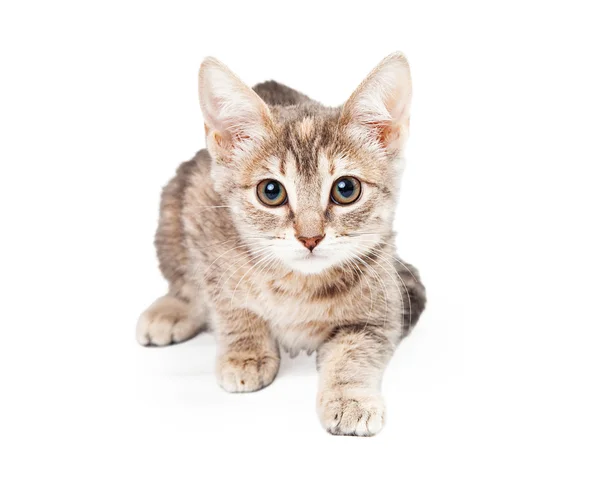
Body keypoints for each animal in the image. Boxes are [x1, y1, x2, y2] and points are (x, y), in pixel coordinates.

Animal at [136, 51, 426, 436]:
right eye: (270, 192)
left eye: (346, 189)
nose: (310, 236)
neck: (299, 283)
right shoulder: (204, 222)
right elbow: (230, 304)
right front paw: (246, 351)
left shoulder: (384, 301)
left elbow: (355, 351)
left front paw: (350, 399)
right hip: (172, 208)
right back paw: (171, 310)